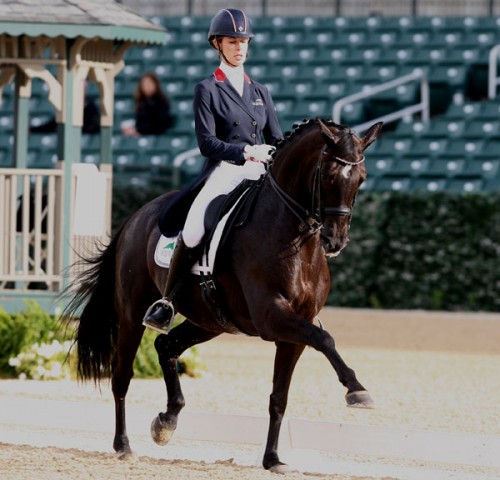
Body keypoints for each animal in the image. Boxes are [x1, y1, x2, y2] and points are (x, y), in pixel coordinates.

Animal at [63, 117, 382, 472]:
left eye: (361, 178)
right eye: (326, 175)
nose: (335, 241)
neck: (295, 240)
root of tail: (136, 217)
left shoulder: (294, 331)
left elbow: (279, 397)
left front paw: (273, 459)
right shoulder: (271, 317)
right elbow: (325, 340)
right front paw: (357, 391)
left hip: (209, 321)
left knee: (165, 345)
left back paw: (167, 421)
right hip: (133, 315)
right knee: (122, 374)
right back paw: (123, 445)